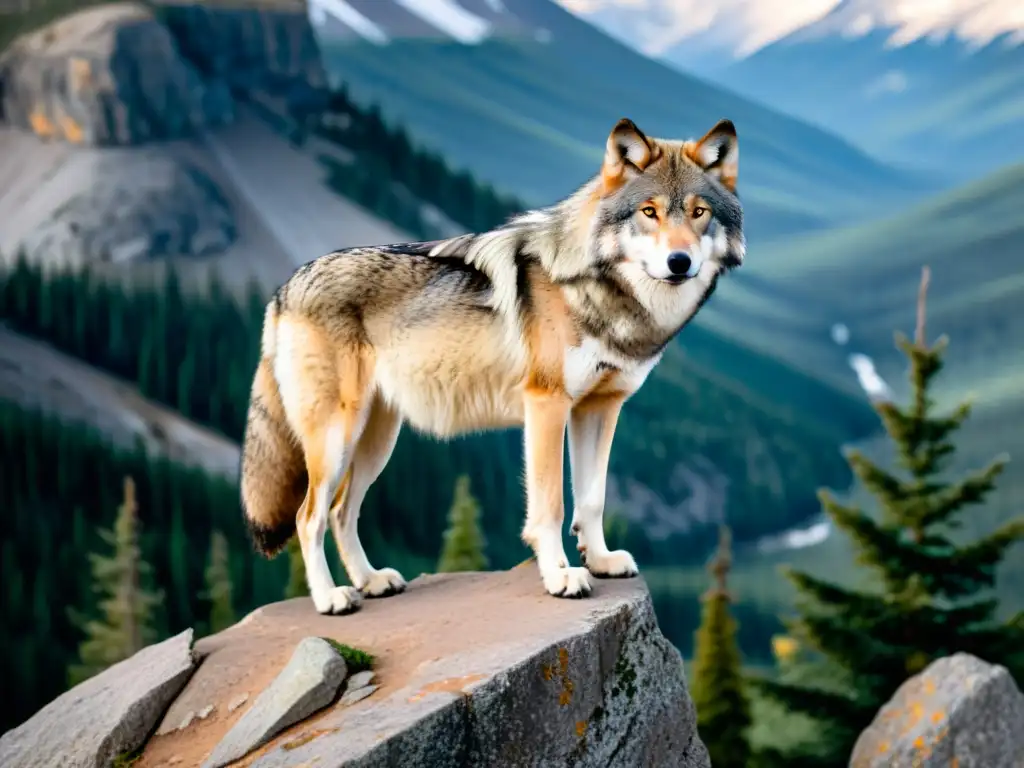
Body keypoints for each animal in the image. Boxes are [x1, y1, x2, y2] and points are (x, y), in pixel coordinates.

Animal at [237, 117, 745, 618]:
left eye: (699, 213)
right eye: (649, 212)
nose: (679, 262)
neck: (598, 291)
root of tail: (283, 289)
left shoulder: (599, 409)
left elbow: (592, 500)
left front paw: (599, 561)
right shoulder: (547, 405)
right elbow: (551, 506)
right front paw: (560, 577)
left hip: (377, 441)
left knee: (342, 511)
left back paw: (372, 581)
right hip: (336, 436)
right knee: (308, 517)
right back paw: (330, 599)